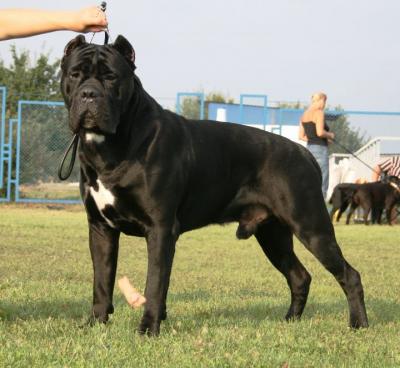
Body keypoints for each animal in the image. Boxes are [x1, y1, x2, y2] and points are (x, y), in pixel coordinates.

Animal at [60, 36, 368, 334]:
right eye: (75, 74)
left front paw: (148, 328)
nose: (89, 94)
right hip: (273, 235)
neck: (113, 145)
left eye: (111, 77)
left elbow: (155, 283)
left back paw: (358, 324)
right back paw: (290, 320)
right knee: (300, 276)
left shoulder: (160, 229)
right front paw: (95, 323)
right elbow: (102, 281)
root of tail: (305, 153)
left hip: (311, 226)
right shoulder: (101, 229)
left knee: (349, 274)